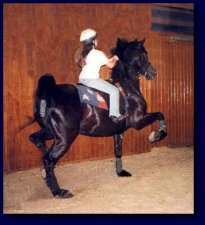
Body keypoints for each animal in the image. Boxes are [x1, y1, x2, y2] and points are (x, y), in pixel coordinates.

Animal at [29, 37, 167, 198]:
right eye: (145, 54)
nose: (153, 72)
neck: (127, 88)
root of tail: (49, 92)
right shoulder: (138, 121)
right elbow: (160, 114)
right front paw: (157, 135)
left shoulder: (118, 131)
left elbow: (118, 151)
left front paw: (121, 172)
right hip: (65, 137)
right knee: (48, 160)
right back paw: (59, 191)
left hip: (51, 132)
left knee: (35, 139)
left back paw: (45, 172)